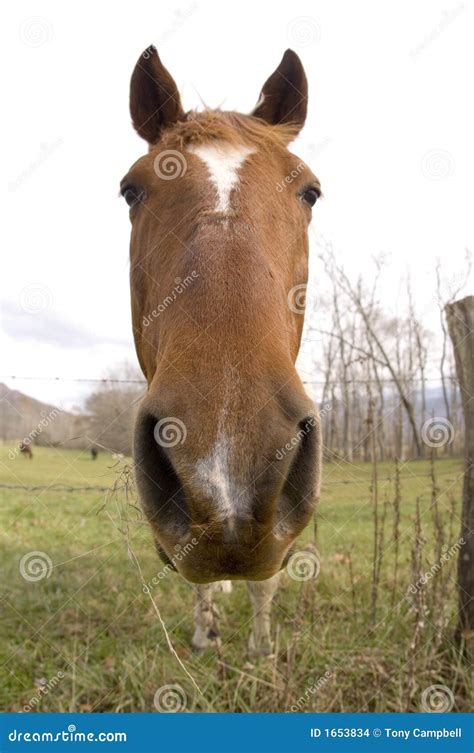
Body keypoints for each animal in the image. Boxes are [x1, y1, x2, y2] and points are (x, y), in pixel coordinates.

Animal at [122, 47, 322, 656]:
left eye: (310, 191)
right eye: (131, 190)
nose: (228, 460)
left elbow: (269, 576)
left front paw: (260, 647)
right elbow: (198, 572)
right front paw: (205, 630)